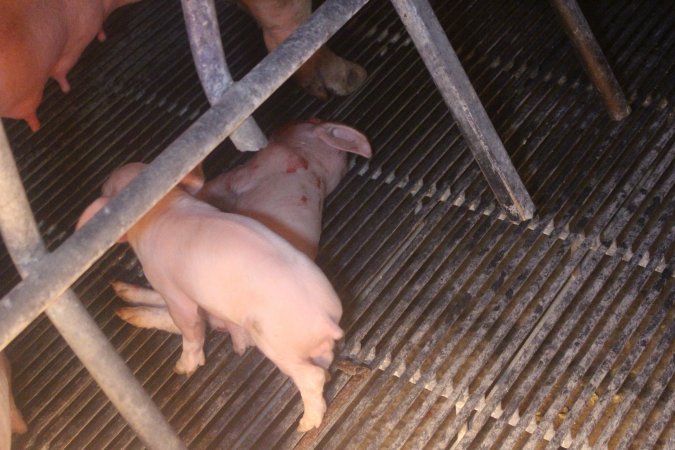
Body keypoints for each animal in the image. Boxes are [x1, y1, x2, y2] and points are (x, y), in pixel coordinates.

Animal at [0, 0, 139, 130]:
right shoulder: (78, 41)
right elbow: (60, 70)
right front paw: (66, 89)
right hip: (24, 97)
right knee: (28, 112)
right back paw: (36, 127)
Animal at [76, 163, 346, 430]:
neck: (159, 208)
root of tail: (327, 318)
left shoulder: (174, 291)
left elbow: (188, 328)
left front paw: (183, 369)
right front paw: (120, 295)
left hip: (277, 343)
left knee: (312, 377)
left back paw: (305, 424)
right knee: (324, 364)